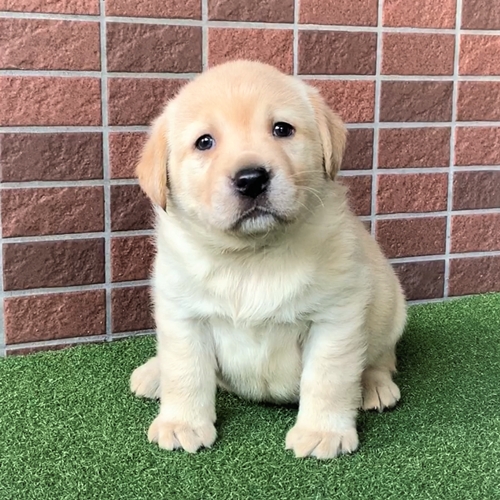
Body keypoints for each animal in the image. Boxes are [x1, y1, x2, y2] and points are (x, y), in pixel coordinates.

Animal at [130, 60, 407, 459]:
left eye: (282, 129)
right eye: (204, 142)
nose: (251, 179)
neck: (252, 255)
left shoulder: (336, 318)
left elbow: (328, 379)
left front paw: (322, 432)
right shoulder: (183, 315)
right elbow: (185, 372)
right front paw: (182, 423)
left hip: (390, 306)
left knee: (382, 357)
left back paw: (373, 384)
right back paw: (153, 374)